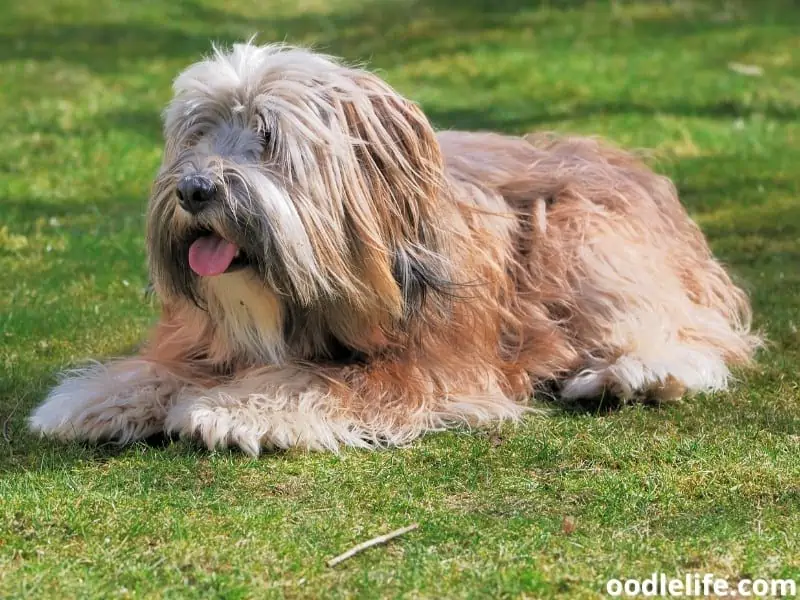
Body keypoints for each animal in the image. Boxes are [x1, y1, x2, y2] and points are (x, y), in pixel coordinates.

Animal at [28, 42, 760, 454]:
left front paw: (234, 408)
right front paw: (99, 397)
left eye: (268, 137)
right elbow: (162, 365)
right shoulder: (199, 336)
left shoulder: (426, 366)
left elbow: (325, 381)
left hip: (585, 241)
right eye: (198, 133)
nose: (195, 189)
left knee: (691, 334)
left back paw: (630, 373)